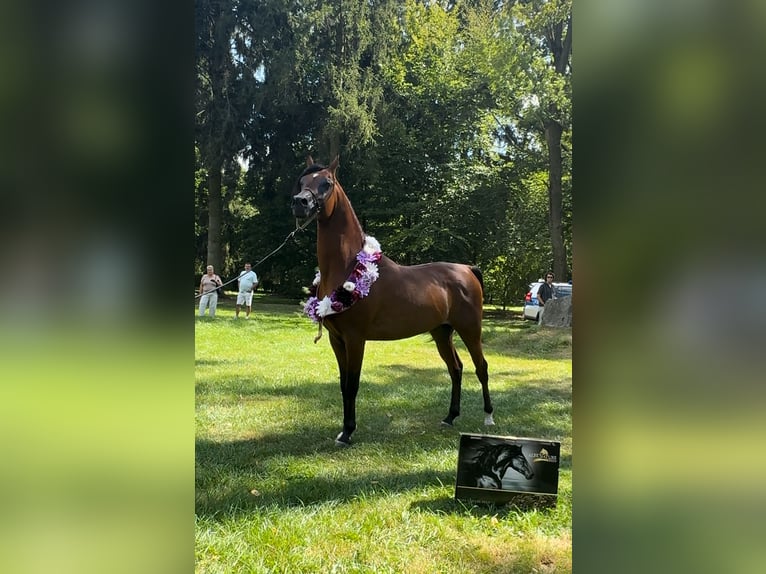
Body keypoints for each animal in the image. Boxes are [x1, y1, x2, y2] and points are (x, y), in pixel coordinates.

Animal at [292, 158, 496, 450]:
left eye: (326, 183)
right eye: (302, 182)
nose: (300, 202)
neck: (348, 266)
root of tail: (467, 269)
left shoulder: (355, 339)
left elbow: (353, 384)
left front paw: (348, 432)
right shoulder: (337, 340)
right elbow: (343, 384)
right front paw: (343, 430)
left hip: (470, 330)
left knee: (481, 367)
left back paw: (488, 417)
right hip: (441, 332)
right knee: (455, 369)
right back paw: (450, 417)